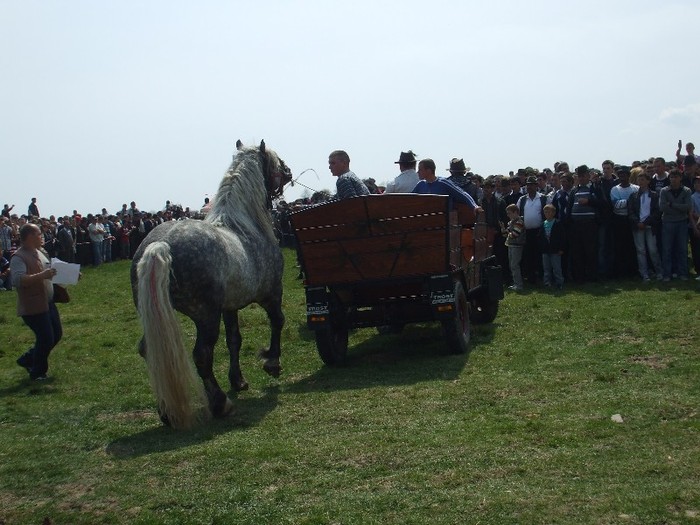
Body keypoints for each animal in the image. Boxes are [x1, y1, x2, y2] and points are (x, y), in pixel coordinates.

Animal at [132, 141, 292, 428]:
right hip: (206, 316)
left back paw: (166, 411)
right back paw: (219, 404)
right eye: (275, 161)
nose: (288, 172)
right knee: (202, 355)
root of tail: (161, 245)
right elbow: (278, 321)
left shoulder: (230, 306)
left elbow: (234, 340)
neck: (244, 225)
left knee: (149, 351)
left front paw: (238, 380)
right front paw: (272, 362)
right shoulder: (271, 293)